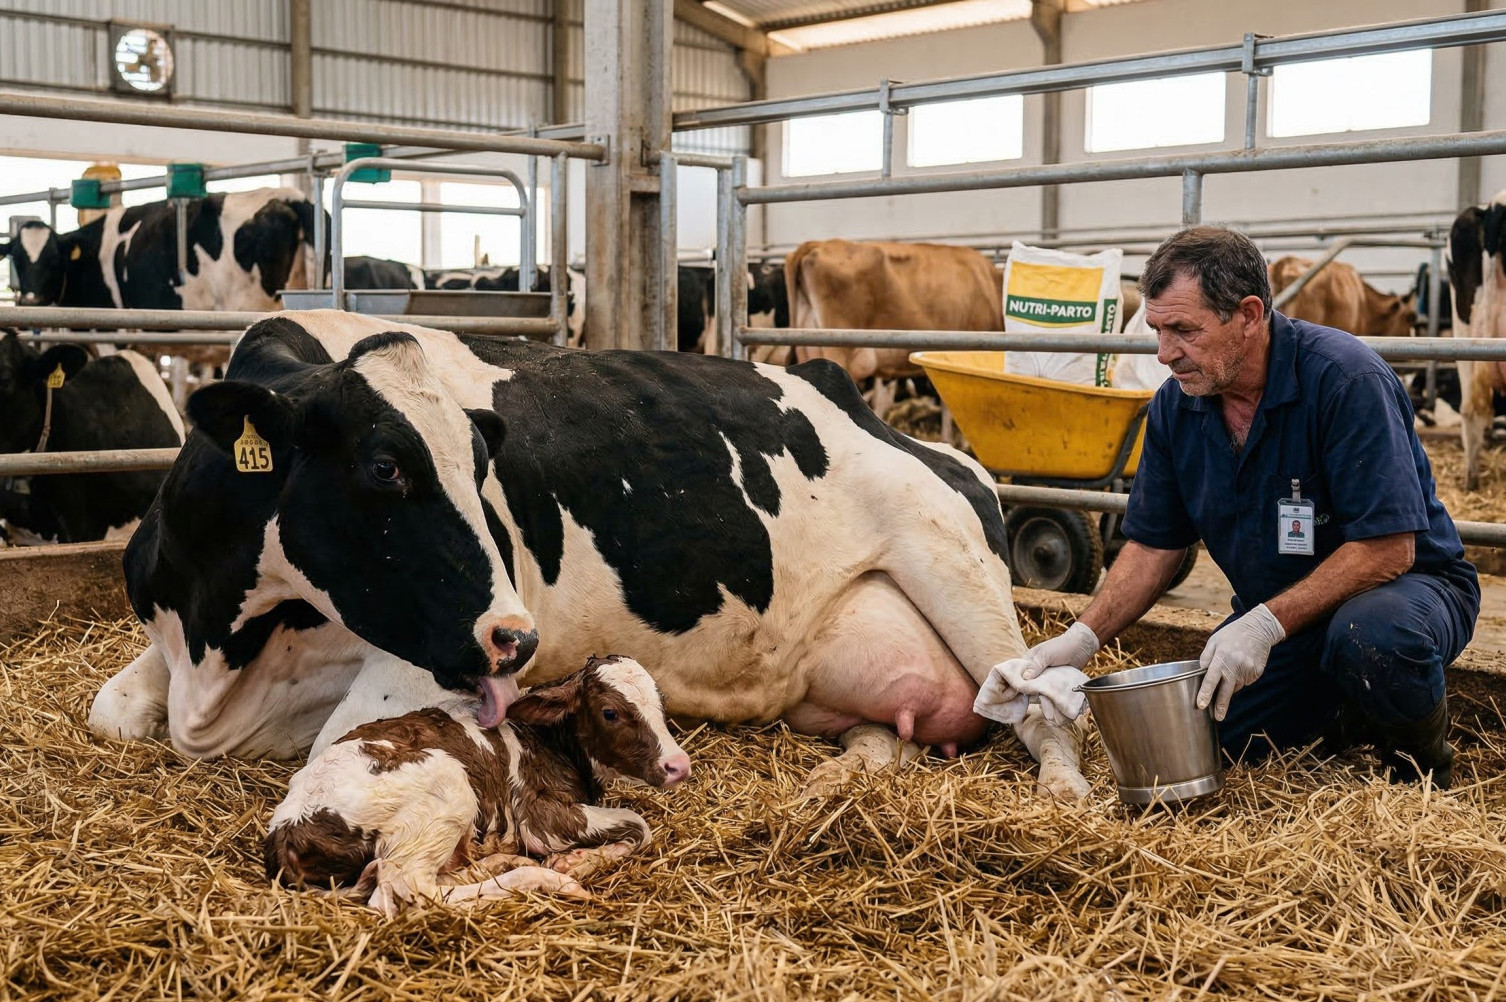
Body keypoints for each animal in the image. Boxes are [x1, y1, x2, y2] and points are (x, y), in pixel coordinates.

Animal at [87, 310, 1088, 802]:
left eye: (481, 462)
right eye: (384, 466)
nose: (519, 639)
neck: (224, 648)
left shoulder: (424, 665)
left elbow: (338, 746)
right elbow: (110, 712)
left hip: (954, 568)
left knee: (1037, 705)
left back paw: (1067, 788)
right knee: (894, 732)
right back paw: (843, 773)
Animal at [265, 654, 689, 914]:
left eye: (661, 703)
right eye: (610, 712)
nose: (678, 765)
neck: (548, 739)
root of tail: (288, 825)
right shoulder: (539, 815)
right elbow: (640, 825)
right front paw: (574, 862)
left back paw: (498, 862)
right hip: (447, 794)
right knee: (409, 891)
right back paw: (542, 877)